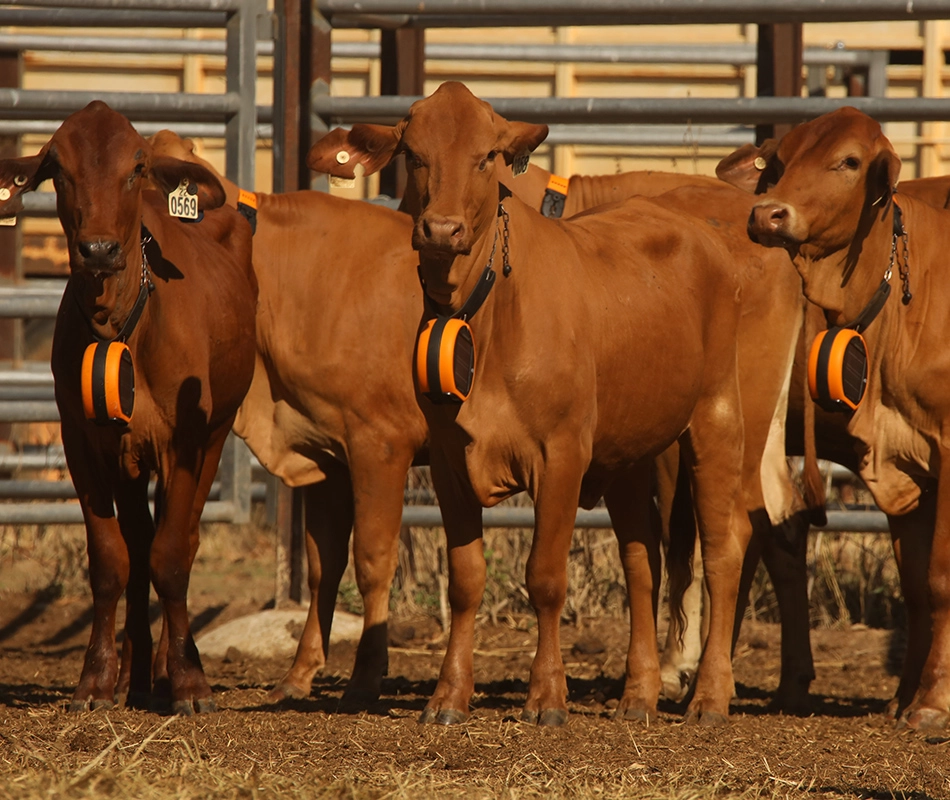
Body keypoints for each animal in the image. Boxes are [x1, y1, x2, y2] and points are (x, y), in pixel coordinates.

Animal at [0, 102, 258, 715]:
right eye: (58, 168)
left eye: (135, 168)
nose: (98, 250)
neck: (120, 326)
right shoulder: (82, 441)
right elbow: (111, 559)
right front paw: (97, 678)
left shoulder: (186, 440)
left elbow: (172, 556)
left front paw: (189, 681)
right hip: (129, 457)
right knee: (139, 545)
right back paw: (135, 676)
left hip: (215, 433)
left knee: (180, 539)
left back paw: (165, 669)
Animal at [307, 81, 767, 726]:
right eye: (415, 155)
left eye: (486, 158)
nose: (441, 229)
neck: (485, 311)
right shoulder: (449, 460)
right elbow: (466, 580)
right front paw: (449, 695)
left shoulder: (562, 454)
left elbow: (546, 576)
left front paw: (548, 695)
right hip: (629, 453)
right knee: (642, 563)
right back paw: (638, 694)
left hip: (718, 417)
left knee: (725, 548)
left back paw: (709, 695)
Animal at [740, 105, 950, 731]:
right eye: (780, 161)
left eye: (849, 161)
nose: (767, 214)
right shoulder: (909, 464)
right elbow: (917, 586)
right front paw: (905, 698)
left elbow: (940, 579)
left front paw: (932, 703)